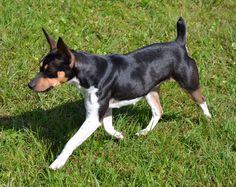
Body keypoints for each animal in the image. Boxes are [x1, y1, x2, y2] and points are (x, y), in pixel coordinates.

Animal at [28, 17, 212, 169]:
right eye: (40, 68)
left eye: (49, 71)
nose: (29, 85)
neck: (89, 71)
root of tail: (179, 44)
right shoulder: (105, 109)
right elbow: (108, 127)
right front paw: (118, 136)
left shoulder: (93, 118)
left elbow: (71, 141)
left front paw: (58, 162)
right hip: (150, 90)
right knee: (158, 111)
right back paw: (144, 132)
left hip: (189, 84)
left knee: (201, 100)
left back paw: (208, 120)